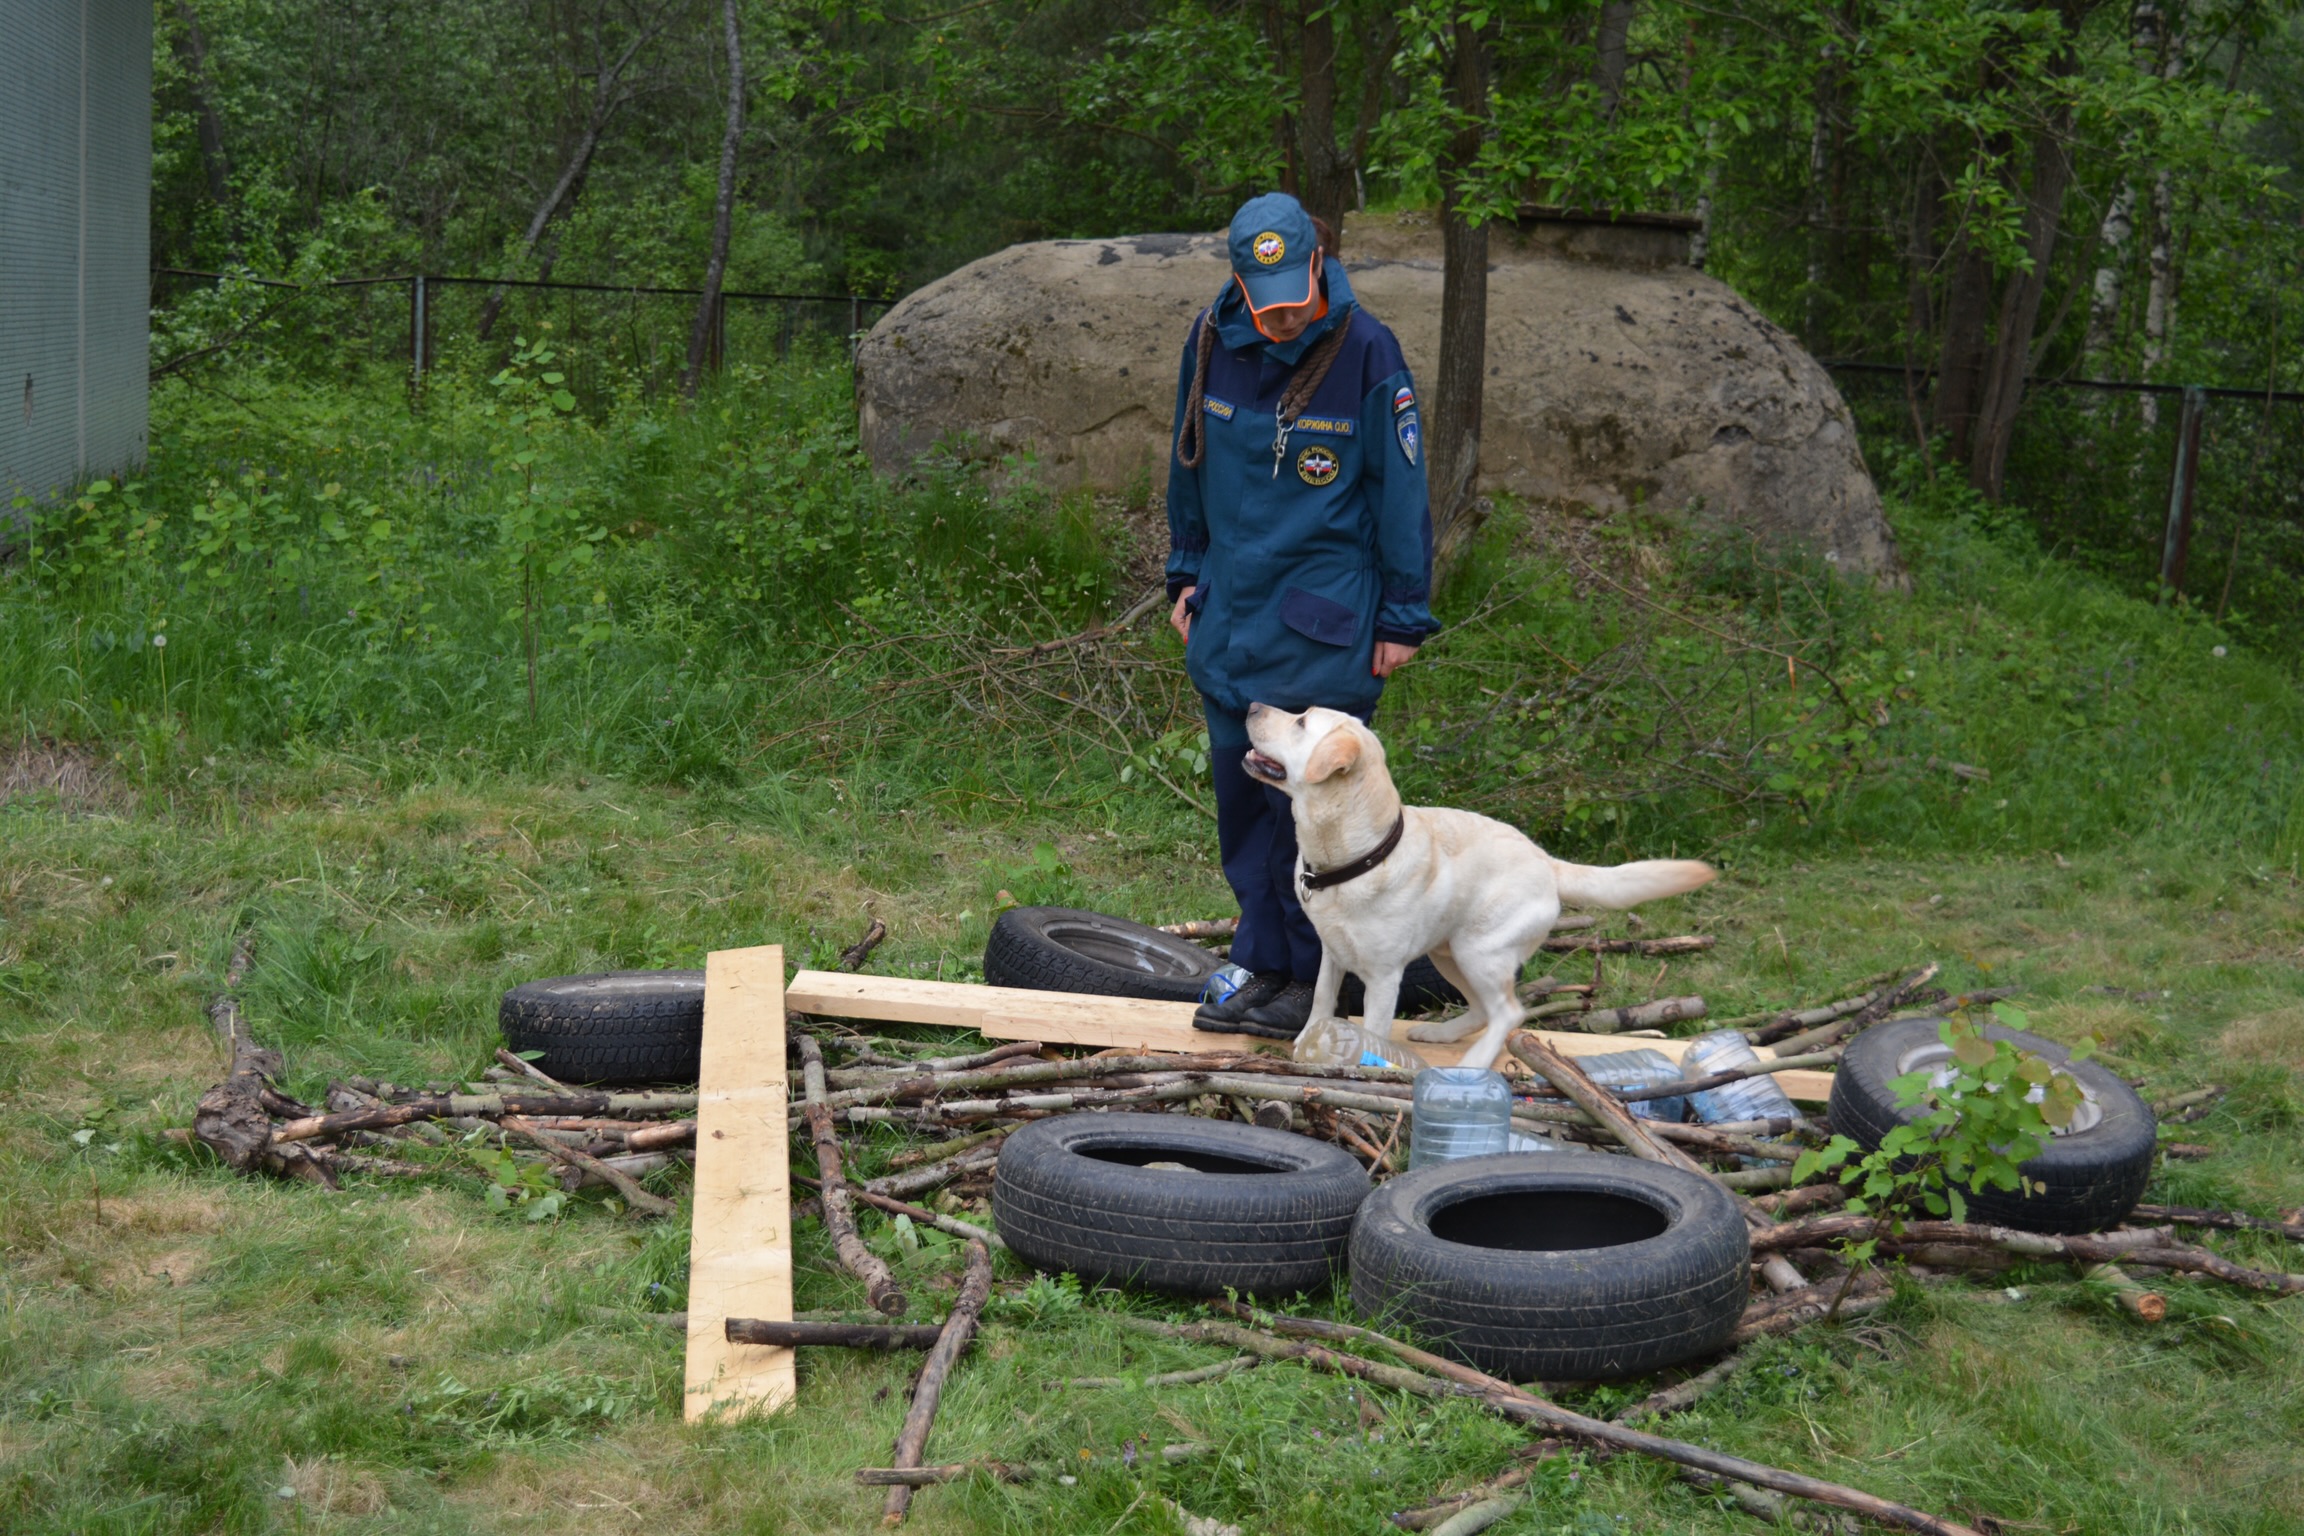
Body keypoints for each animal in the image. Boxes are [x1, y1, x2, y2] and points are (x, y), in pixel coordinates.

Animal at [1244, 704, 1714, 1068]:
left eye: (1302, 722)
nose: (1249, 706)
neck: (1356, 856)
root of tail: (1547, 861)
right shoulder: (1331, 952)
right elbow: (1321, 1001)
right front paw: (1306, 1043)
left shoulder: (1383, 978)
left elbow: (1374, 1029)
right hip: (1449, 953)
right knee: (1483, 1009)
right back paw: (1442, 1035)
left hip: (1479, 951)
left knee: (1510, 1011)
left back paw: (1474, 1062)